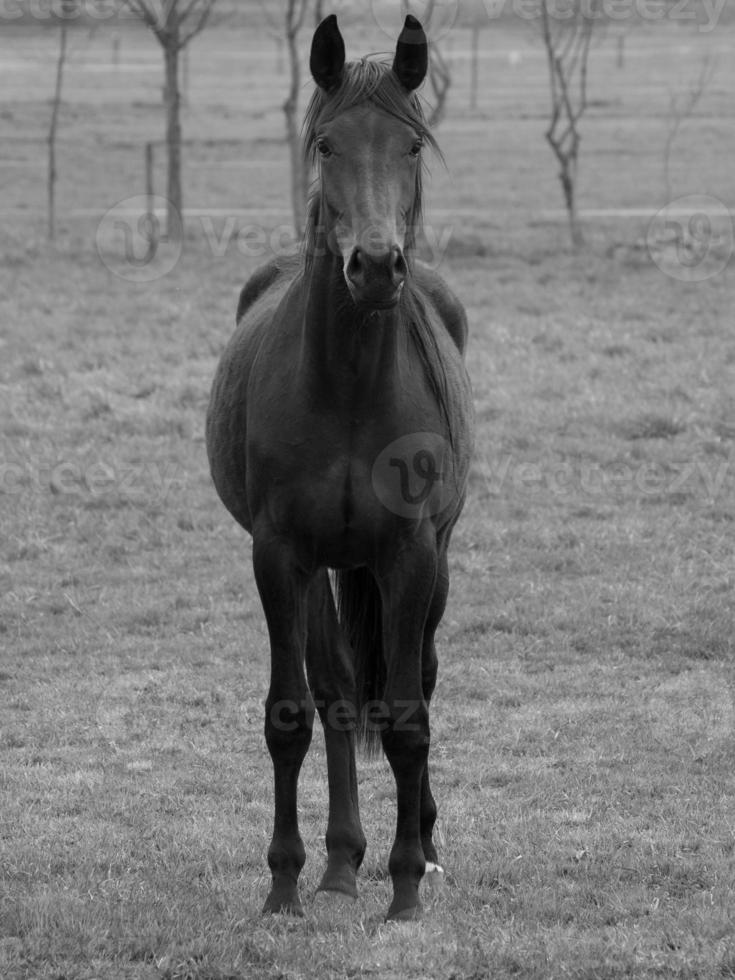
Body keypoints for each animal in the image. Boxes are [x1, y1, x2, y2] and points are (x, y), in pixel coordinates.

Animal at [204, 13, 474, 920]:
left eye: (412, 144)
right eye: (326, 143)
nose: (376, 265)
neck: (351, 382)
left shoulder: (411, 552)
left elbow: (407, 713)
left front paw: (407, 887)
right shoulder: (280, 553)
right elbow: (293, 709)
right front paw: (286, 883)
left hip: (423, 562)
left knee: (414, 677)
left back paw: (415, 848)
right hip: (327, 564)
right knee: (333, 689)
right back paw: (338, 862)